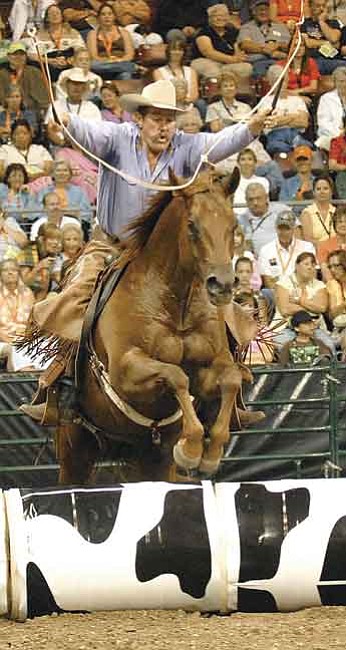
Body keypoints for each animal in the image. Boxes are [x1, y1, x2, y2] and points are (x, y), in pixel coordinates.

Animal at [56, 170, 254, 484]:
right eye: (192, 226)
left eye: (233, 225)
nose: (222, 285)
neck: (176, 308)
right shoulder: (125, 372)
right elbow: (176, 376)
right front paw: (191, 448)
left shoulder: (213, 366)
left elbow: (231, 379)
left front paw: (209, 454)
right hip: (74, 451)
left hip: (151, 462)